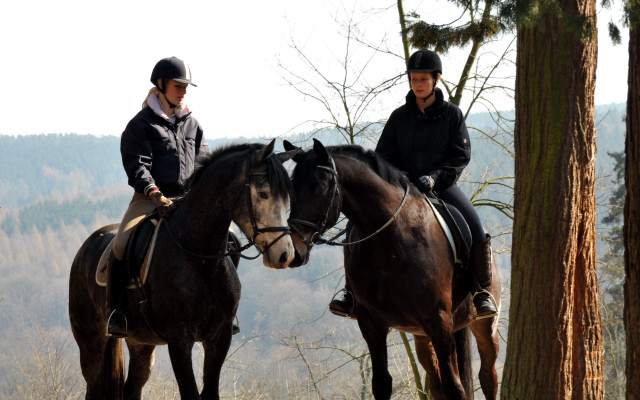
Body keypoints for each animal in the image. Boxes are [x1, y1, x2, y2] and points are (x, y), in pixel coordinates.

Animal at [69, 141, 298, 400]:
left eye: (286, 198)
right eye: (263, 194)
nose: (285, 255)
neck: (199, 258)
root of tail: (85, 248)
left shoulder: (219, 338)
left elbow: (210, 392)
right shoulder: (179, 340)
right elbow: (190, 392)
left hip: (141, 343)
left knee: (132, 387)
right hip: (91, 340)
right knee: (94, 384)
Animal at [284, 139, 500, 398]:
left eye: (320, 186)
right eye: (292, 186)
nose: (294, 249)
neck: (391, 237)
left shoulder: (439, 320)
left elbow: (455, 387)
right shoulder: (372, 323)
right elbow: (382, 383)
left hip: (483, 325)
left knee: (487, 377)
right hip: (422, 336)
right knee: (436, 383)